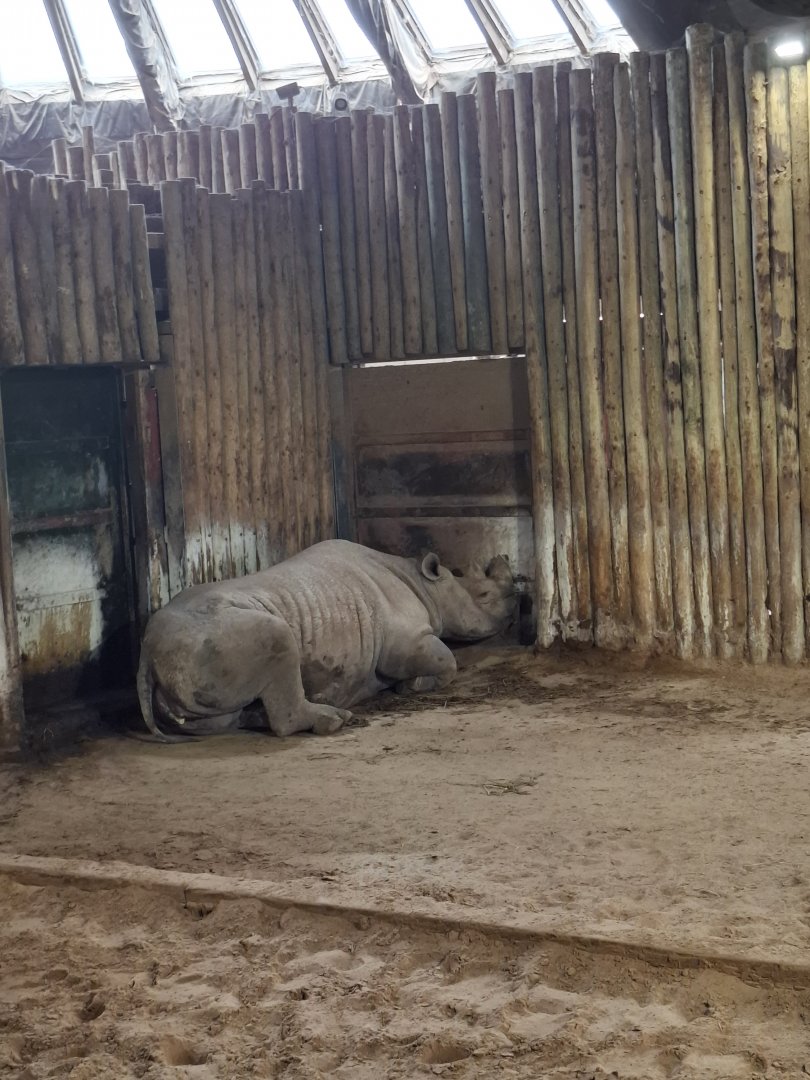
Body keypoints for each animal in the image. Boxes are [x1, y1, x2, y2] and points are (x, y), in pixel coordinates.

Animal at [137, 539, 515, 741]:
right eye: (483, 594)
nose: (514, 609)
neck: (424, 583)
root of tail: (146, 651)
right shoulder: (404, 642)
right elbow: (446, 661)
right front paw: (411, 687)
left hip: (188, 650)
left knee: (218, 720)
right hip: (208, 635)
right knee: (278, 636)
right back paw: (334, 720)